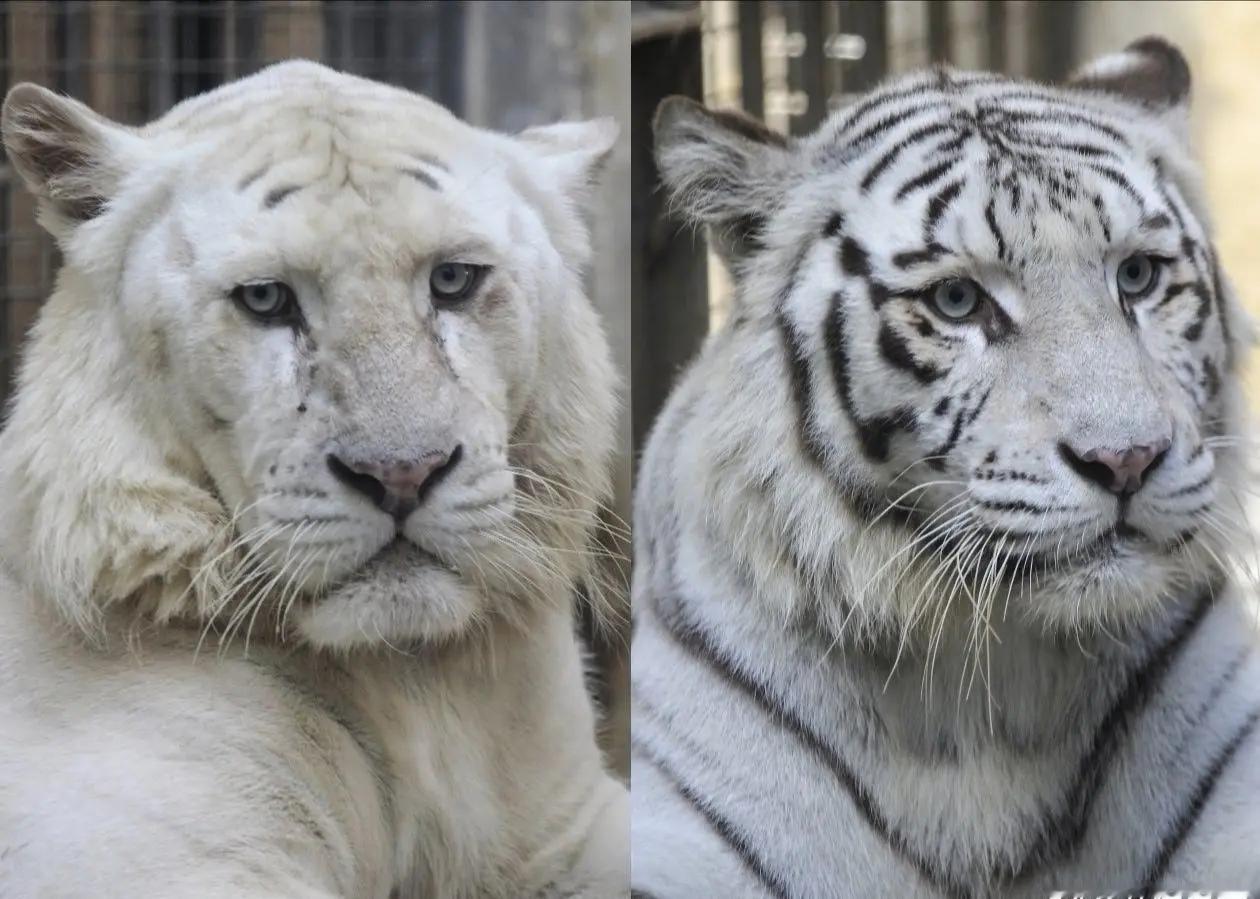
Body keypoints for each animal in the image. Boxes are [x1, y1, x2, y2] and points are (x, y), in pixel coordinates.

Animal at [0, 61, 627, 897]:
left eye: (453, 280)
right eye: (266, 298)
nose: (402, 474)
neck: (418, 687)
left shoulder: (570, 822)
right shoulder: (170, 860)